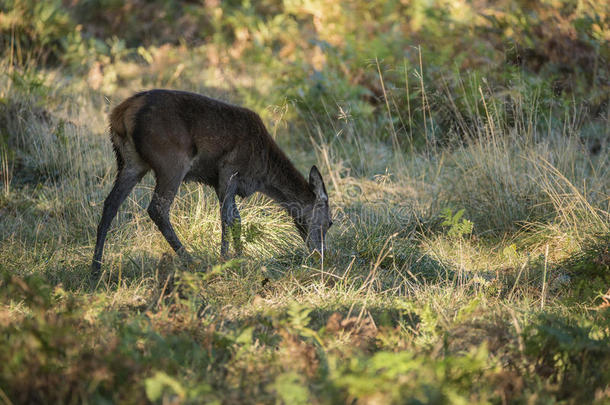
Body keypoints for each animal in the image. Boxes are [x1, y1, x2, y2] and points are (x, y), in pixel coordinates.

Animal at [89, 88, 332, 274]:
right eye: (330, 222)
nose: (320, 256)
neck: (263, 173)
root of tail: (121, 114)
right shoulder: (228, 169)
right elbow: (226, 218)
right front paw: (224, 260)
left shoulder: (221, 181)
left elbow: (236, 218)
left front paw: (240, 257)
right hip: (171, 160)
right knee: (157, 208)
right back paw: (191, 260)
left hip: (130, 162)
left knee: (110, 205)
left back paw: (96, 268)